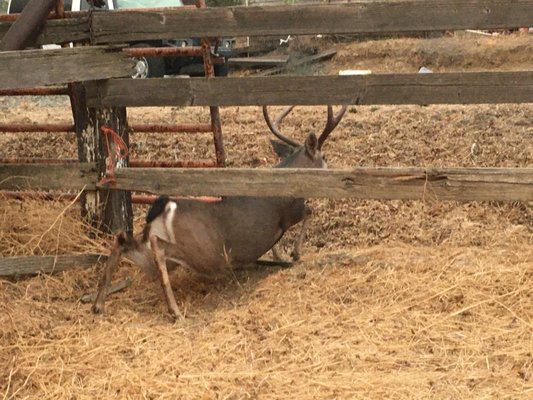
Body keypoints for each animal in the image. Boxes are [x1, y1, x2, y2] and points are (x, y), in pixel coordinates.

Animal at [90, 105, 350, 318]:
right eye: (324, 156)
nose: (331, 168)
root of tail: (165, 206)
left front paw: (280, 255)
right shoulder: (289, 212)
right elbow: (309, 211)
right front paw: (294, 253)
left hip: (167, 254)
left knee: (124, 241)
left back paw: (98, 304)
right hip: (206, 252)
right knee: (157, 248)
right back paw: (175, 312)